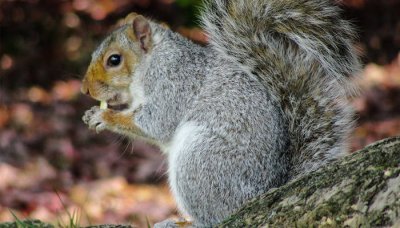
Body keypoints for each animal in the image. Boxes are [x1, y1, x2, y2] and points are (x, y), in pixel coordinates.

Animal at [80, 0, 360, 226]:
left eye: (114, 60)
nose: (84, 89)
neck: (152, 61)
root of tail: (264, 190)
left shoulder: (173, 83)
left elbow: (156, 123)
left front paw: (103, 117)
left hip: (200, 160)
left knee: (213, 219)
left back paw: (184, 223)